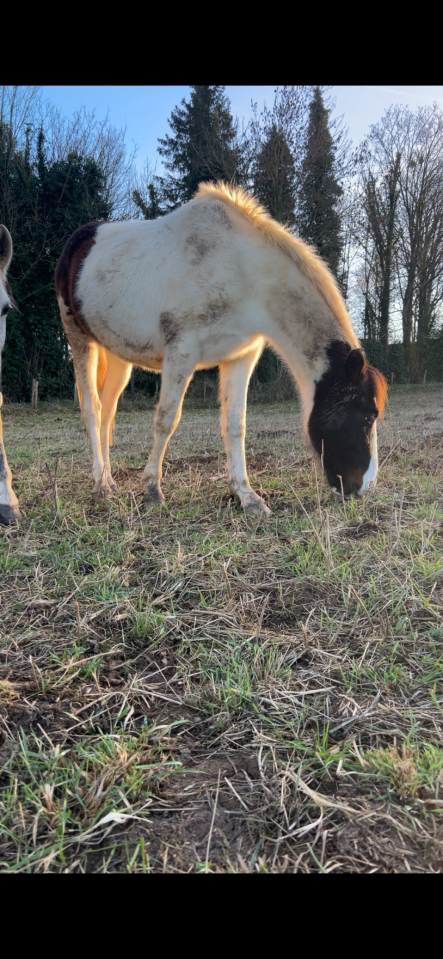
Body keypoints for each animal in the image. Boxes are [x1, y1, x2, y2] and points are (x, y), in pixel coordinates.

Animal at [55, 182, 387, 515]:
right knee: (92, 409)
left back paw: (109, 481)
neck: (238, 268)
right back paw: (100, 485)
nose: (364, 487)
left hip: (119, 356)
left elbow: (234, 423)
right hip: (79, 338)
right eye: (367, 415)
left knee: (107, 411)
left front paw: (246, 495)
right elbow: (166, 419)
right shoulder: (181, 352)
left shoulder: (240, 356)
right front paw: (152, 491)